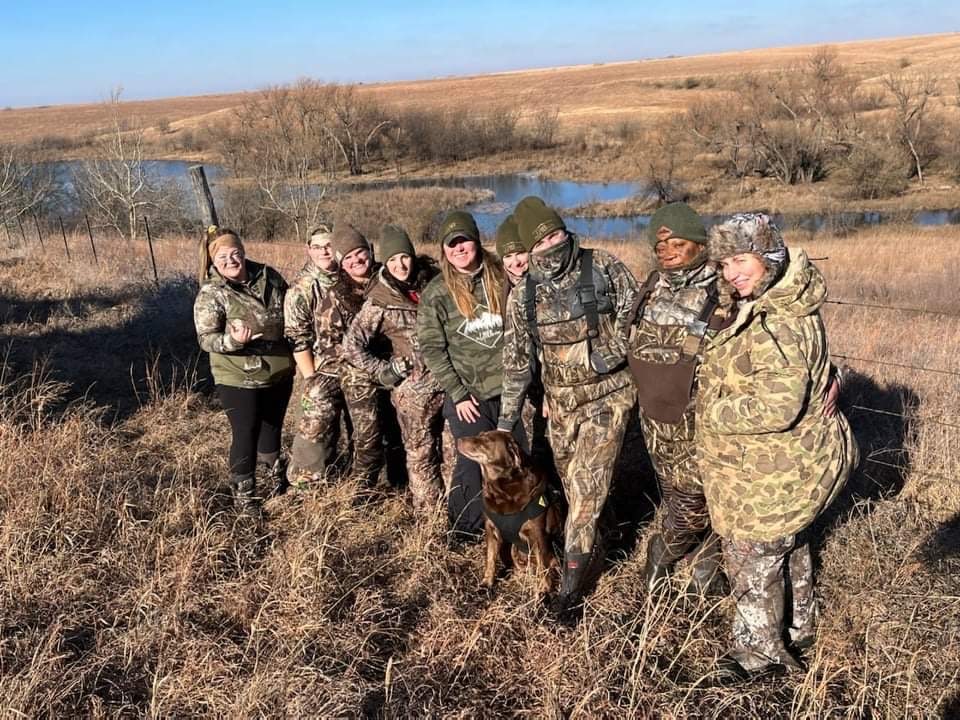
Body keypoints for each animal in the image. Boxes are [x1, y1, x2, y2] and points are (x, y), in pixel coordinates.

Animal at [456, 430, 564, 592]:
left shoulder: (538, 535)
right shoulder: (491, 530)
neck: (502, 491)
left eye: (487, 440)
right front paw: (486, 583)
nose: (459, 440)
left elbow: (543, 565)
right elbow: (490, 558)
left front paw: (544, 591)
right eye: (480, 434)